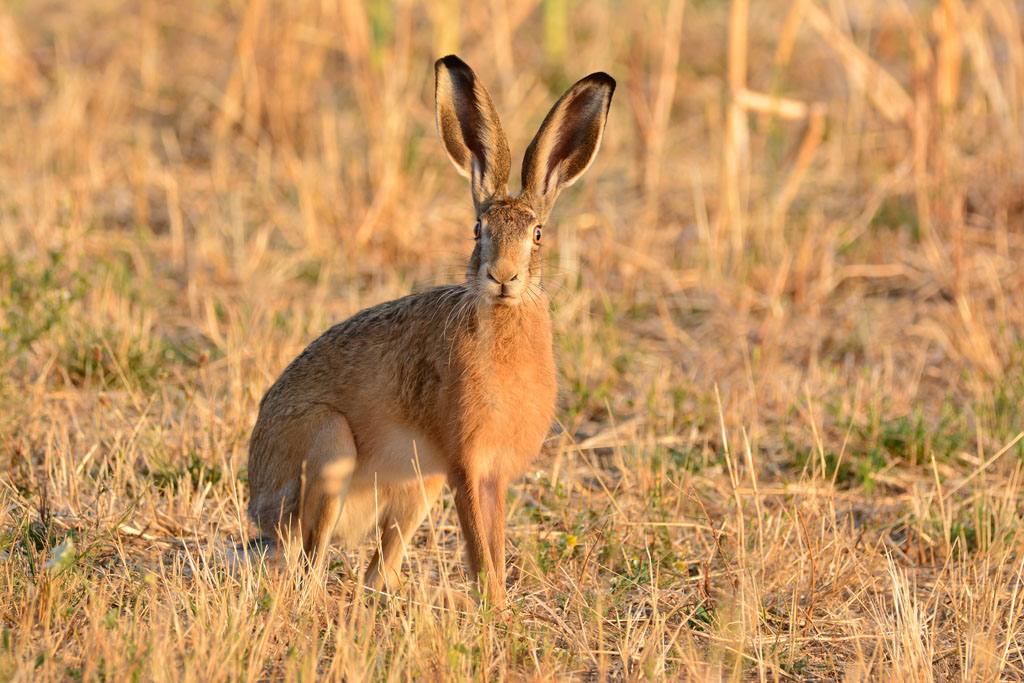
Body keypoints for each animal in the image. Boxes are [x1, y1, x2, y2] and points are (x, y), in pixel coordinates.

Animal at [245, 54, 614, 606]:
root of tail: (257, 501)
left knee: (374, 569)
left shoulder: (490, 476)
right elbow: (480, 552)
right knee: (307, 565)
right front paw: (495, 612)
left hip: (419, 487)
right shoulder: (464, 464)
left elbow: (494, 548)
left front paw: (499, 610)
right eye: (478, 232)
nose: (503, 276)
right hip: (329, 447)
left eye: (537, 235)